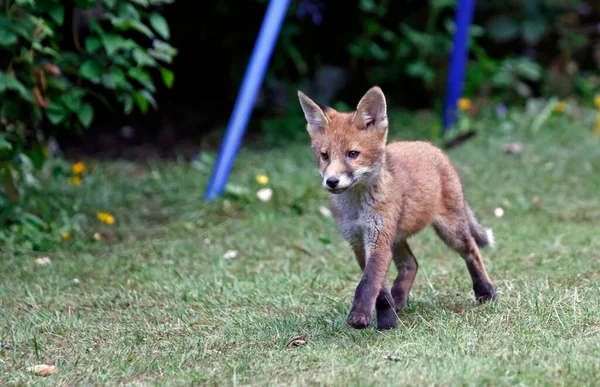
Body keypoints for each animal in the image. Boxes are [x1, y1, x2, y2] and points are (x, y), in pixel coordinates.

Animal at [296, 87, 496, 330]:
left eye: (352, 154)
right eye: (324, 156)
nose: (331, 181)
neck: (358, 208)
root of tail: (431, 146)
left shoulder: (378, 238)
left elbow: (368, 283)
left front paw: (363, 316)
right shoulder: (359, 241)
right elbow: (378, 287)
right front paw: (387, 318)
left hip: (449, 232)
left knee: (472, 251)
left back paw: (486, 291)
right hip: (397, 236)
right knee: (412, 264)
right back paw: (398, 299)